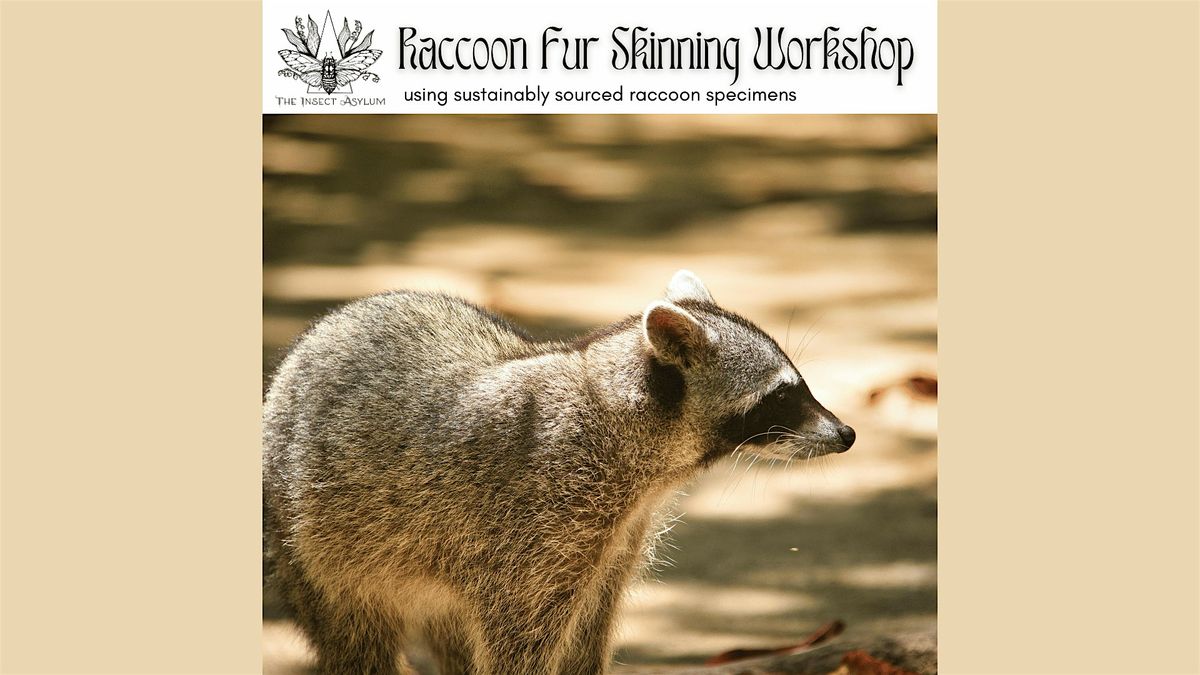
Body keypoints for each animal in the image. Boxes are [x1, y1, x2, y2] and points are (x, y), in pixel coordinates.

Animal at [263, 270, 854, 675]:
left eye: (799, 386)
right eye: (781, 396)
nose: (846, 434)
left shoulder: (616, 538)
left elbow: (589, 629)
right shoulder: (536, 524)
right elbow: (522, 638)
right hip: (316, 550)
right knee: (355, 641)